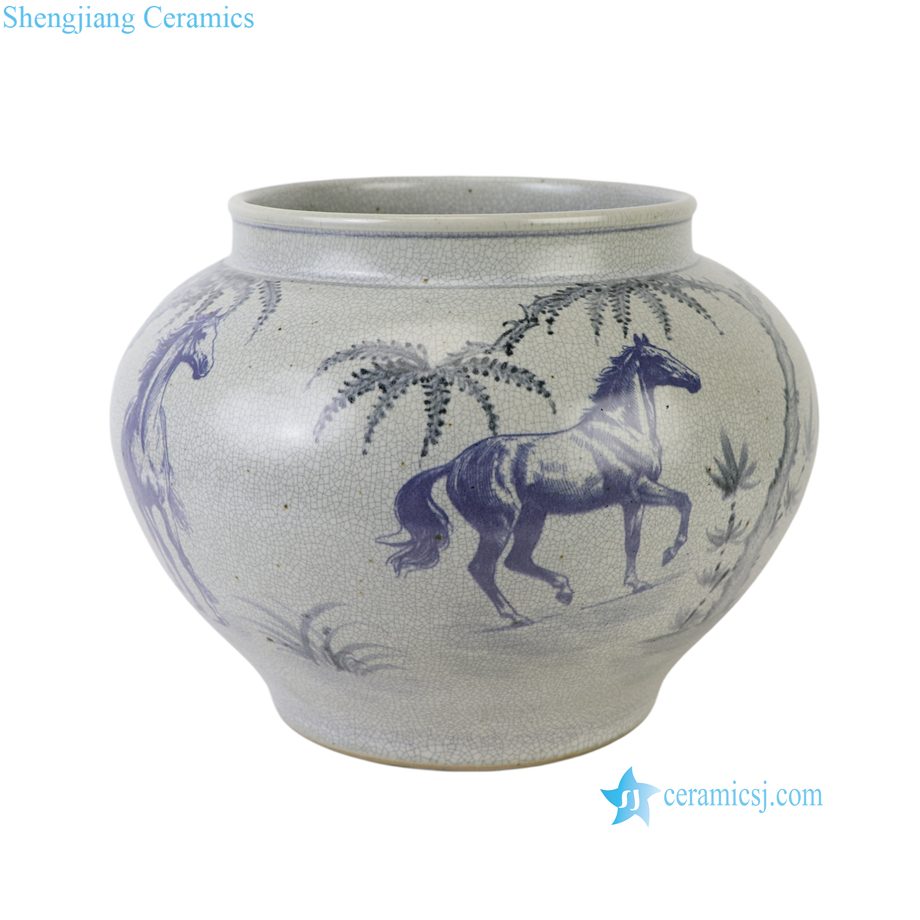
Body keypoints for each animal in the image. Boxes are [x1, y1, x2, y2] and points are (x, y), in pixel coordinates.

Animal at [121, 309, 223, 620]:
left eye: (217, 335)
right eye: (203, 334)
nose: (206, 367)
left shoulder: (164, 501)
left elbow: (179, 552)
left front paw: (209, 600)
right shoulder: (146, 502)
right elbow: (172, 551)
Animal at [379, 334, 701, 626]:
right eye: (658, 357)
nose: (695, 380)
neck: (624, 429)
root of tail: (455, 463)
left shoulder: (632, 501)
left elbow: (632, 542)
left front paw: (636, 582)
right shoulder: (640, 488)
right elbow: (684, 501)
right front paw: (669, 553)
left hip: (533, 515)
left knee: (516, 560)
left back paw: (563, 590)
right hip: (498, 525)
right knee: (483, 568)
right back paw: (516, 615)